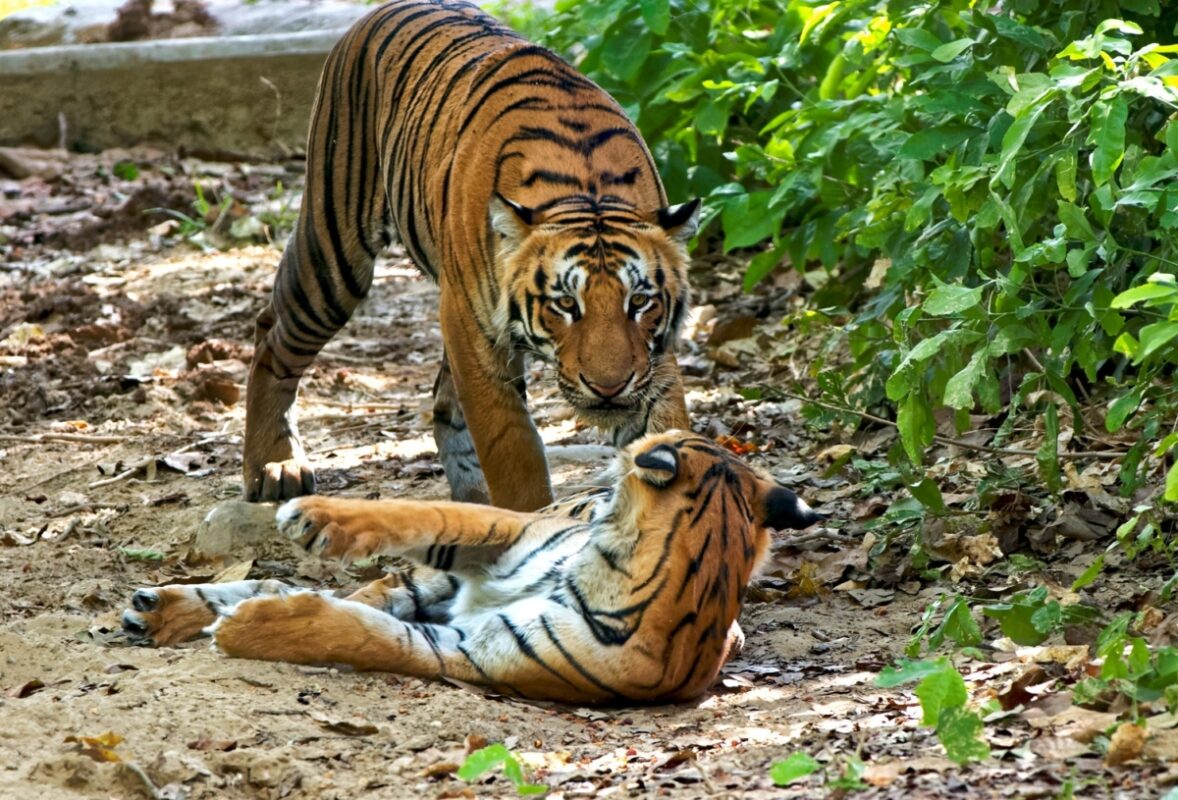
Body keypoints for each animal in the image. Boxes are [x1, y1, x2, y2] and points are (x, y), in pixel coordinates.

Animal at [119, 435, 819, 702]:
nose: (599, 476)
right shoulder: (510, 532)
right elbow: (427, 514)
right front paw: (314, 516)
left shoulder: (466, 648)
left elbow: (361, 634)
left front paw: (248, 629)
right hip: (454, 566)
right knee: (362, 584)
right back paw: (161, 612)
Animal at [241, 0, 697, 513]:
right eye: (565, 304)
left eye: (638, 302)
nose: (608, 387)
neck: (587, 191)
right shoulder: (476, 335)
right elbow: (514, 452)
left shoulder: (651, 361)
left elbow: (666, 432)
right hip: (334, 254)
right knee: (272, 336)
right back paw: (274, 467)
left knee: (443, 401)